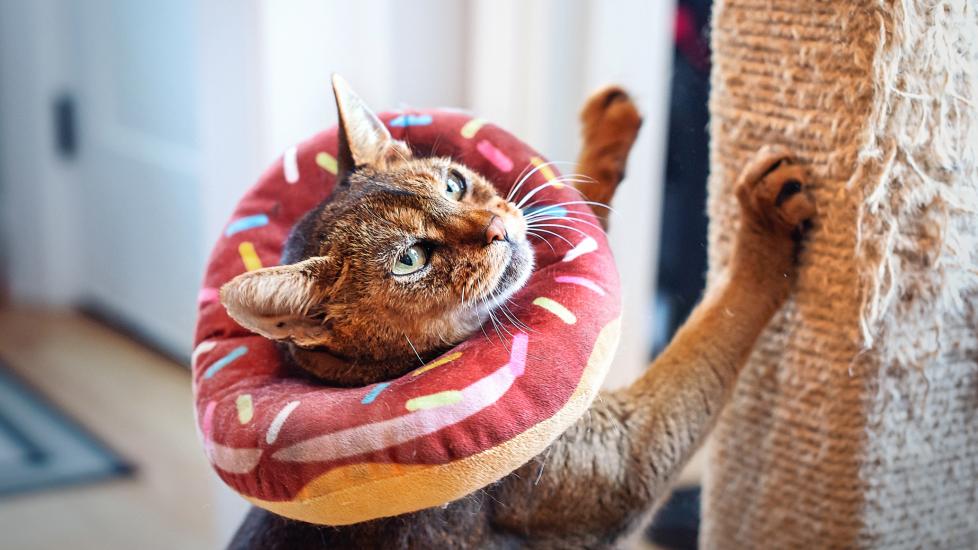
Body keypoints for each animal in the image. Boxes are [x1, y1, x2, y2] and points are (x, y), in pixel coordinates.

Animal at [223, 75, 816, 548]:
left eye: (454, 183)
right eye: (410, 259)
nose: (496, 228)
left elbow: (584, 205)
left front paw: (609, 129)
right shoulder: (622, 458)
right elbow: (718, 324)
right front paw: (762, 229)